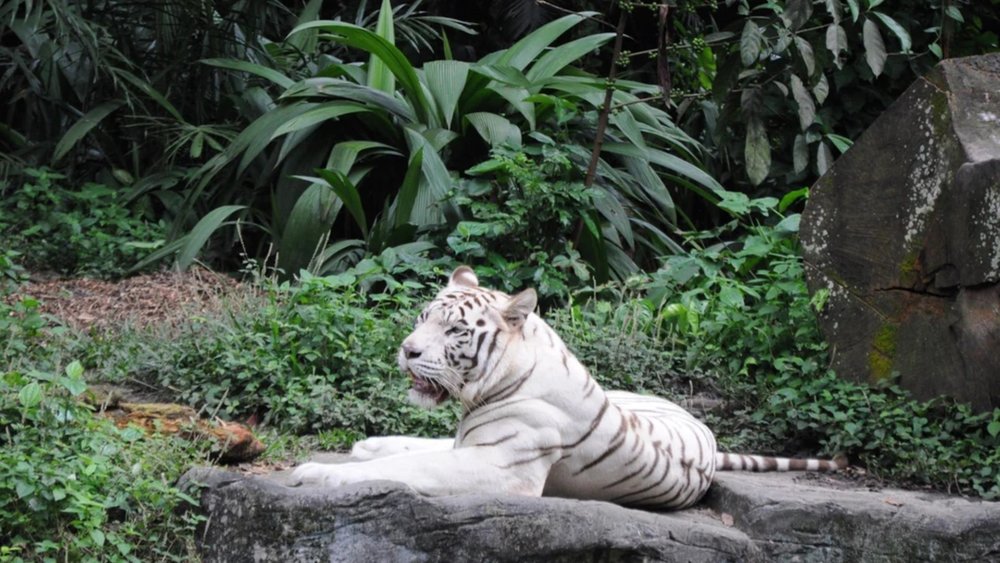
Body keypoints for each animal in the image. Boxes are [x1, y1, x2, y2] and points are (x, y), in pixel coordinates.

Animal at [290, 266, 845, 509]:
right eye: (423, 318)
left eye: (454, 331)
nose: (407, 350)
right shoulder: (477, 445)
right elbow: (417, 452)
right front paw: (355, 454)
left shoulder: (501, 469)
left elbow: (408, 468)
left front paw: (315, 473)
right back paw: (368, 442)